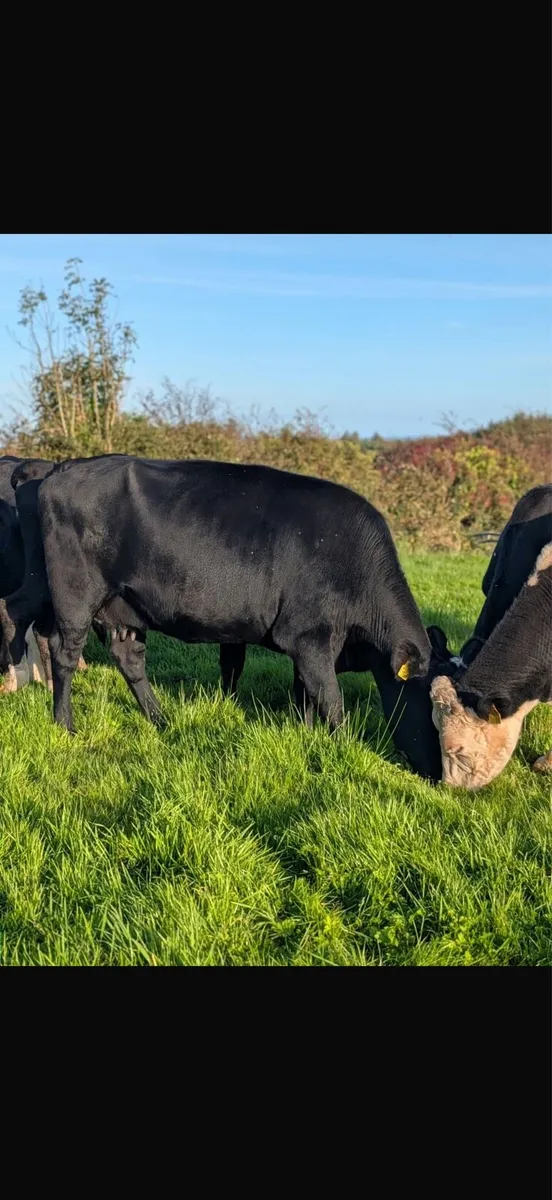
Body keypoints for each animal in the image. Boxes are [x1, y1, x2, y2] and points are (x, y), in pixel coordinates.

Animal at [0, 455, 437, 746]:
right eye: (422, 698)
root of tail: (61, 468)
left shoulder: (309, 644)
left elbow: (305, 694)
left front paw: (309, 736)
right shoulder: (311, 636)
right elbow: (329, 697)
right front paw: (345, 747)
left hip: (112, 601)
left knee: (123, 656)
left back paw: (160, 719)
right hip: (75, 591)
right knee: (62, 649)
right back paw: (64, 723)